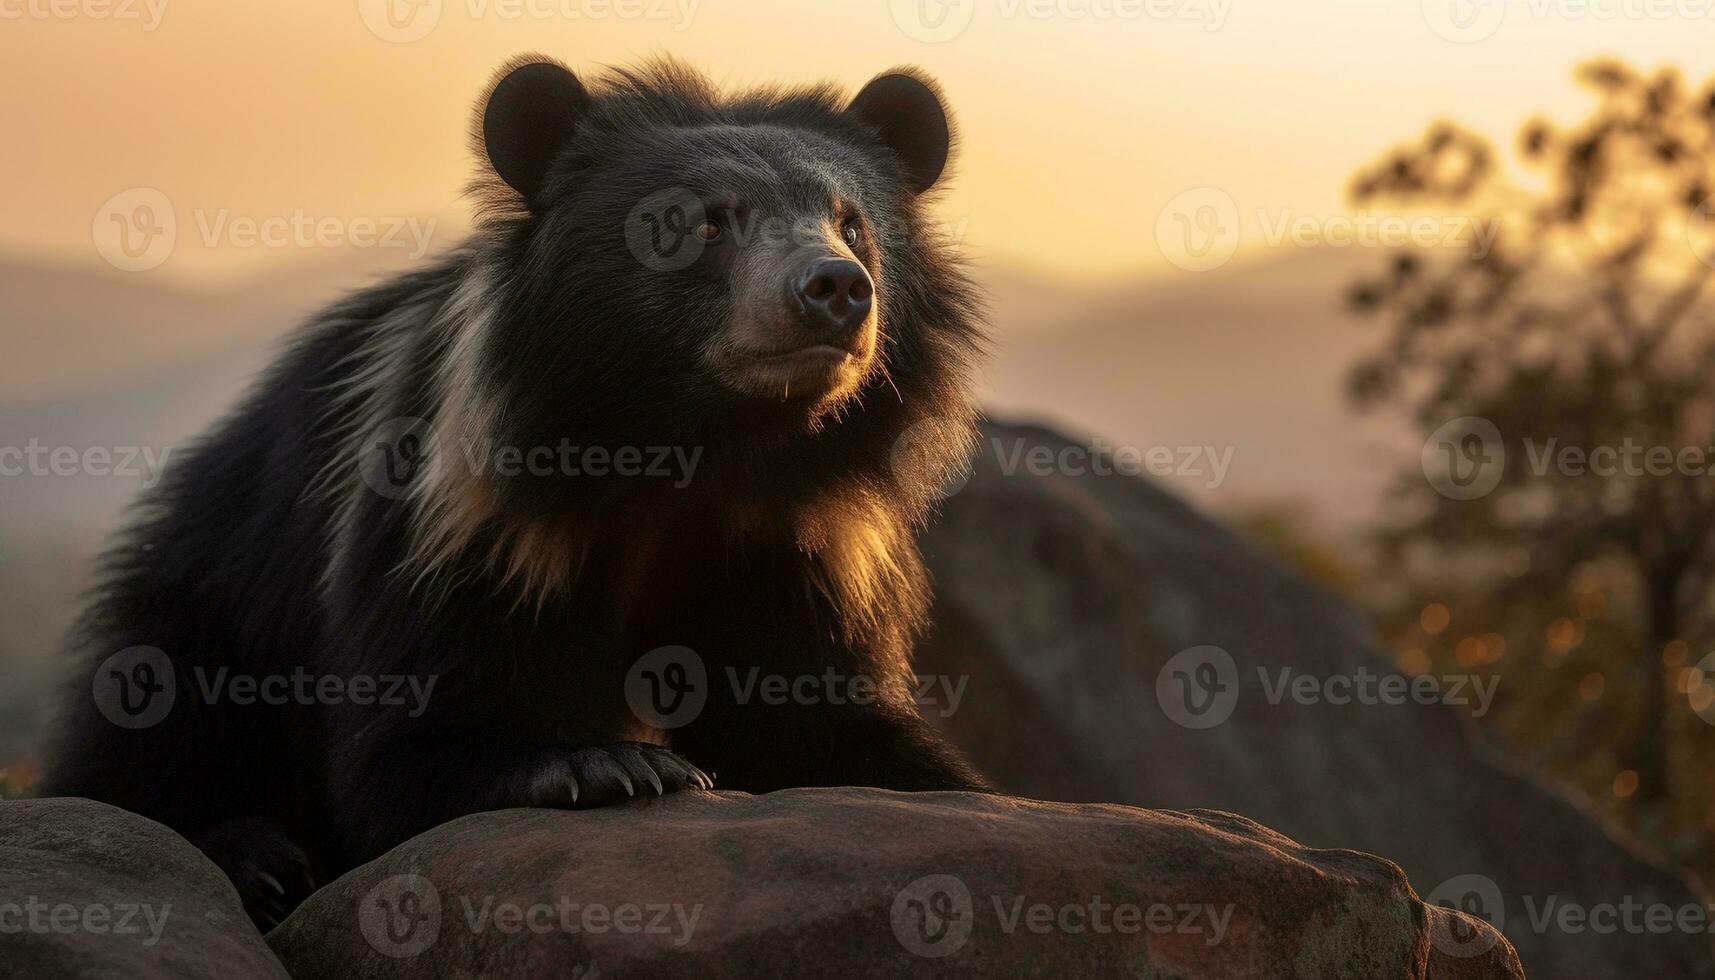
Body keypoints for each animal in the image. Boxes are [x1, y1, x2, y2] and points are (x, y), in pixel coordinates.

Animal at [40, 57, 987, 933]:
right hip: (210, 580)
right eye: (699, 222)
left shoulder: (801, 539)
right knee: (160, 713)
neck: (698, 444)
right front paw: (603, 766)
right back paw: (256, 857)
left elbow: (806, 708)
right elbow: (423, 719)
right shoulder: (465, 512)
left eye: (852, 222)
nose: (834, 289)